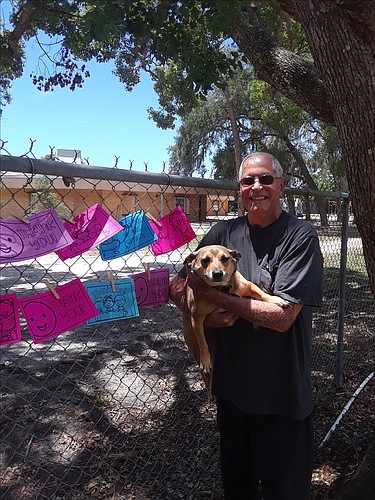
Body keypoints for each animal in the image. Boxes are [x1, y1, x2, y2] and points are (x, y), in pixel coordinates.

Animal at [184, 244, 290, 396]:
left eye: (225, 258)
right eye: (205, 260)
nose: (217, 273)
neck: (222, 289)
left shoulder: (249, 286)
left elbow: (262, 294)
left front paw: (276, 300)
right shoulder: (196, 318)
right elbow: (202, 342)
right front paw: (205, 360)